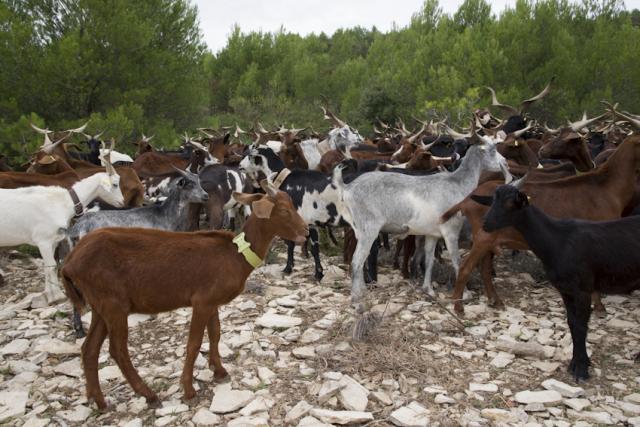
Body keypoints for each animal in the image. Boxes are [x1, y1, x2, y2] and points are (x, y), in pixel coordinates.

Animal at [0, 159, 124, 306]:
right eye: (115, 184)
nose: (122, 202)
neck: (62, 202)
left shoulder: (53, 241)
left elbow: (48, 267)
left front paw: (48, 295)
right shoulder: (43, 240)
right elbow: (52, 266)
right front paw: (58, 296)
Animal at [61, 181, 308, 412]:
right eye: (284, 210)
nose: (306, 232)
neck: (236, 254)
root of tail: (69, 263)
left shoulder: (212, 301)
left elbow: (215, 334)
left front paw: (219, 371)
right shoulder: (202, 301)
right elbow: (194, 343)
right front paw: (189, 390)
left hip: (100, 306)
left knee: (89, 349)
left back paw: (99, 400)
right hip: (113, 305)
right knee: (118, 350)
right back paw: (149, 395)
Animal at [476, 181, 640, 382]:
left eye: (509, 204)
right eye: (492, 200)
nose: (486, 224)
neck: (557, 240)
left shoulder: (582, 289)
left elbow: (581, 326)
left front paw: (581, 369)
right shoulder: (565, 290)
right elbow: (572, 323)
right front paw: (576, 363)